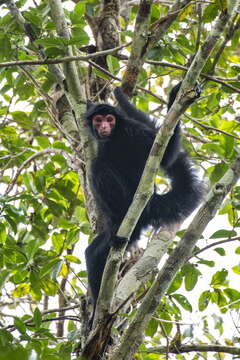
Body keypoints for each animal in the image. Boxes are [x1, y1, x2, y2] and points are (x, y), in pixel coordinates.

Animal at [85, 81, 203, 312]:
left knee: (97, 166)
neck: (115, 136)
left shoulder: (133, 130)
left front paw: (174, 98)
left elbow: (166, 157)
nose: (104, 127)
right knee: (93, 254)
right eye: (98, 120)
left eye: (110, 119)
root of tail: (154, 202)